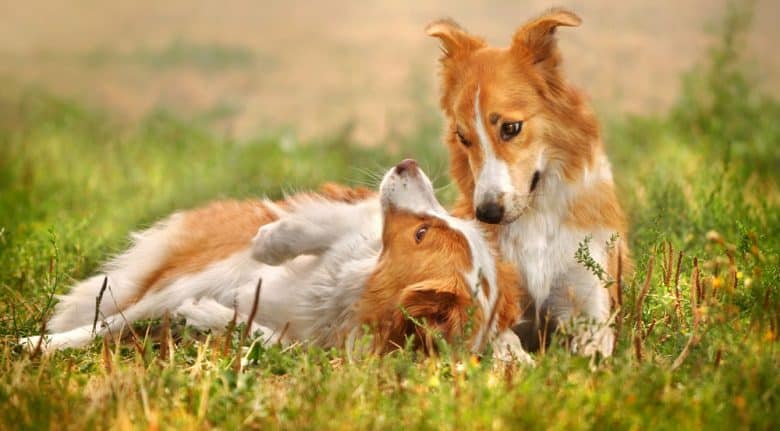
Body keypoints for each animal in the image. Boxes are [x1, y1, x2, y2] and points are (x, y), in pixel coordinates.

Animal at [19, 160, 532, 362]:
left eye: (422, 232)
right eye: (438, 225)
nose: (408, 163)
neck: (349, 293)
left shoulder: (321, 348)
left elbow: (275, 341)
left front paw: (210, 317)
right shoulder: (353, 226)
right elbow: (329, 226)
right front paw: (272, 241)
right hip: (192, 271)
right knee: (115, 317)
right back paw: (38, 343)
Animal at [426, 8, 628, 356]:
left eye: (511, 128)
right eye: (463, 137)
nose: (487, 213)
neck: (536, 217)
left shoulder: (588, 300)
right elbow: (503, 339)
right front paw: (516, 362)